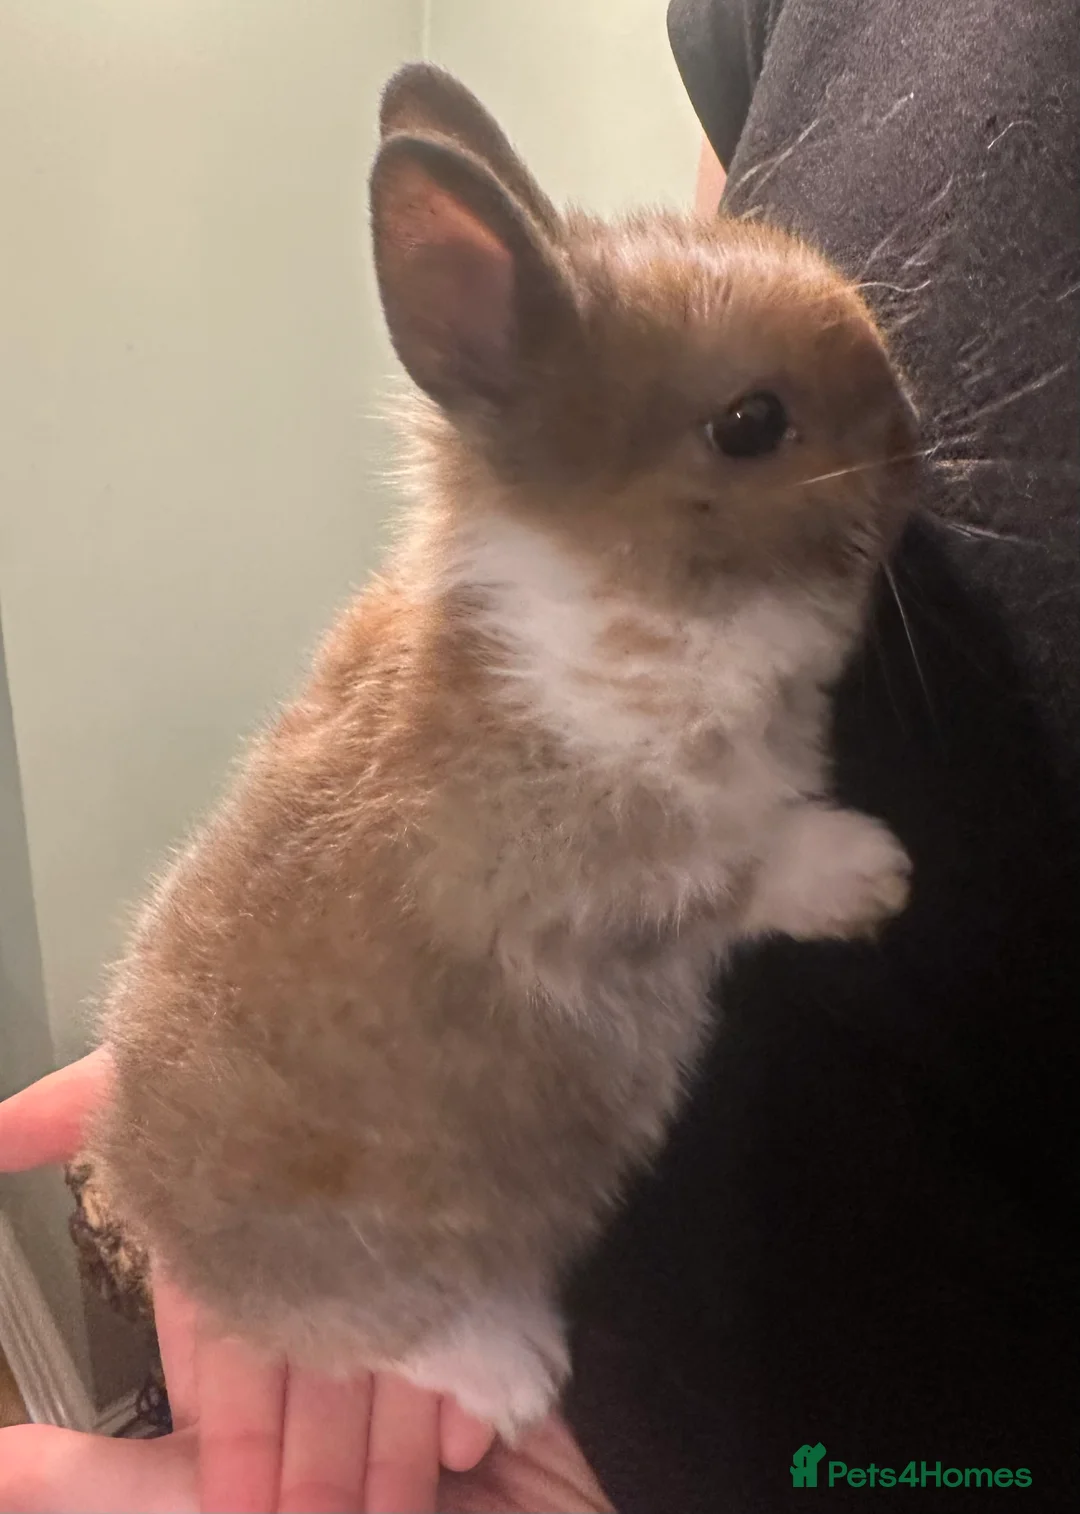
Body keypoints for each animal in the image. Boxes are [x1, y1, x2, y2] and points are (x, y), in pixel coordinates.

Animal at [84, 63, 918, 1440]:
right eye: (752, 422)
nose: (910, 447)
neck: (615, 597)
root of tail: (154, 1228)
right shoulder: (583, 883)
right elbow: (741, 862)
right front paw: (875, 871)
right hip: (397, 1266)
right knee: (396, 1331)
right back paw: (518, 1372)